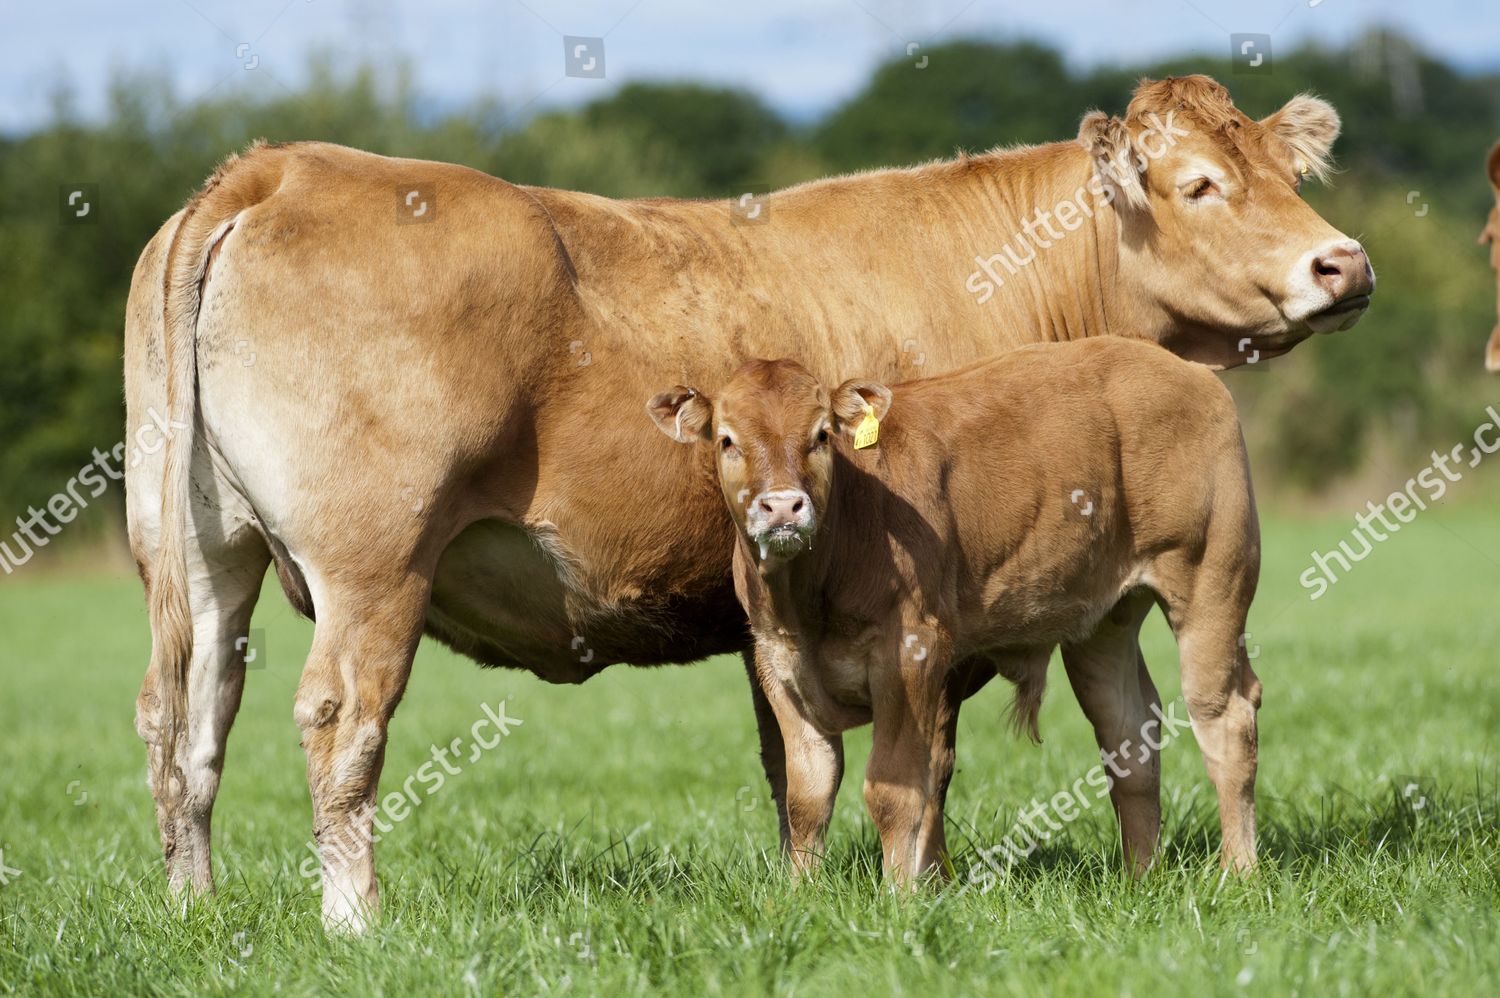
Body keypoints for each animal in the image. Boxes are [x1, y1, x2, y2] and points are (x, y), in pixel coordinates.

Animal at [648, 340, 1266, 882]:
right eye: (727, 440)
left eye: (821, 435)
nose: (782, 506)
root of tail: (1183, 368)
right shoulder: (777, 662)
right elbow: (809, 795)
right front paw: (801, 896)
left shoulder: (909, 650)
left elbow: (896, 789)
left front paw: (899, 899)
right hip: (1102, 620)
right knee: (1128, 729)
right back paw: (1141, 877)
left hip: (1211, 578)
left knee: (1225, 716)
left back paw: (1237, 874)